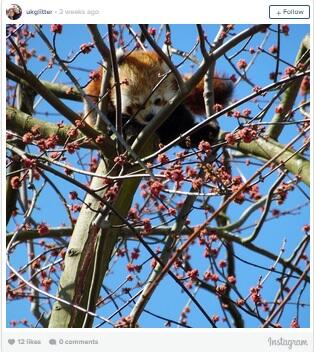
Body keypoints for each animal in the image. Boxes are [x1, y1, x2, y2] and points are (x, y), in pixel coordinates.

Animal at [84, 49, 232, 148]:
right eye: (136, 105)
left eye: (158, 100)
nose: (149, 117)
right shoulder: (98, 93)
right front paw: (127, 128)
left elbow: (180, 123)